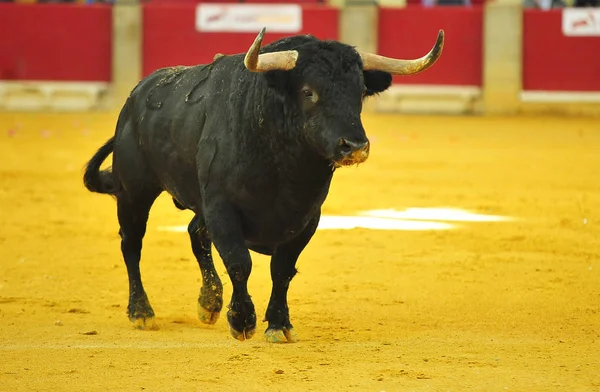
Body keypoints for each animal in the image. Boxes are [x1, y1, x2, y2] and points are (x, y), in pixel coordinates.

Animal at [82, 28, 442, 344]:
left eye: (360, 93)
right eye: (308, 91)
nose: (354, 146)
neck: (284, 167)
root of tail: (137, 95)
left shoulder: (307, 217)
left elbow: (282, 269)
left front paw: (279, 325)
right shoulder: (222, 207)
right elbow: (240, 263)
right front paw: (242, 321)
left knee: (195, 233)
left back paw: (209, 304)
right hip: (134, 192)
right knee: (132, 244)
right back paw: (141, 312)